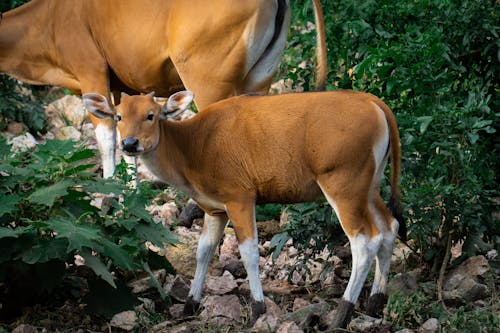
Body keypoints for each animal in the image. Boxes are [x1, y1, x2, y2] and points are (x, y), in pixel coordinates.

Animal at [0, 0, 326, 178]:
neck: (50, 18)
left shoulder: (91, 72)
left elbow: (106, 141)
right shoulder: (121, 91)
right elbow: (127, 140)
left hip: (208, 82)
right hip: (260, 78)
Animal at [84, 90, 404, 326]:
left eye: (151, 115)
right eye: (119, 116)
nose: (129, 143)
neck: (192, 147)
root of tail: (375, 103)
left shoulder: (240, 197)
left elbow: (249, 252)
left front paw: (259, 308)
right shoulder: (215, 209)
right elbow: (204, 251)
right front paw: (190, 304)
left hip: (343, 183)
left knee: (365, 240)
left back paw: (342, 313)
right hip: (369, 186)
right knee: (390, 227)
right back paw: (375, 303)